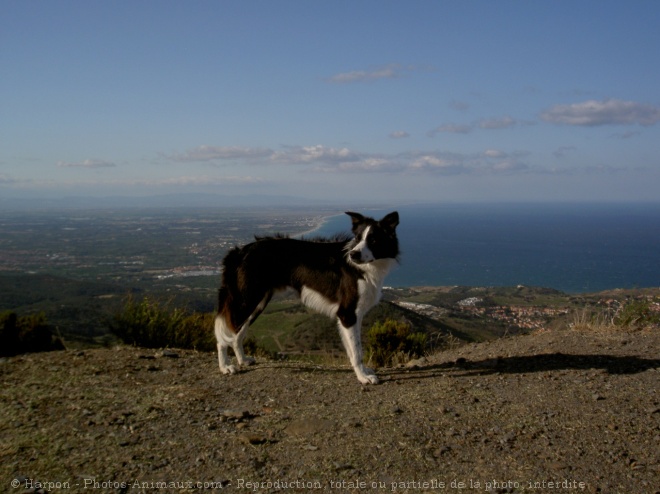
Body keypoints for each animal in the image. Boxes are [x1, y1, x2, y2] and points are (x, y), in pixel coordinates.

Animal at [214, 210, 400, 384]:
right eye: (357, 238)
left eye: (373, 240)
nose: (353, 254)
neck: (364, 268)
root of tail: (240, 251)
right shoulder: (347, 313)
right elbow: (357, 351)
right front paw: (363, 377)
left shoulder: (352, 316)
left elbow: (352, 347)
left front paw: (362, 372)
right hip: (246, 300)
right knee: (223, 337)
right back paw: (225, 367)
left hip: (257, 303)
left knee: (238, 334)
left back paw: (242, 360)